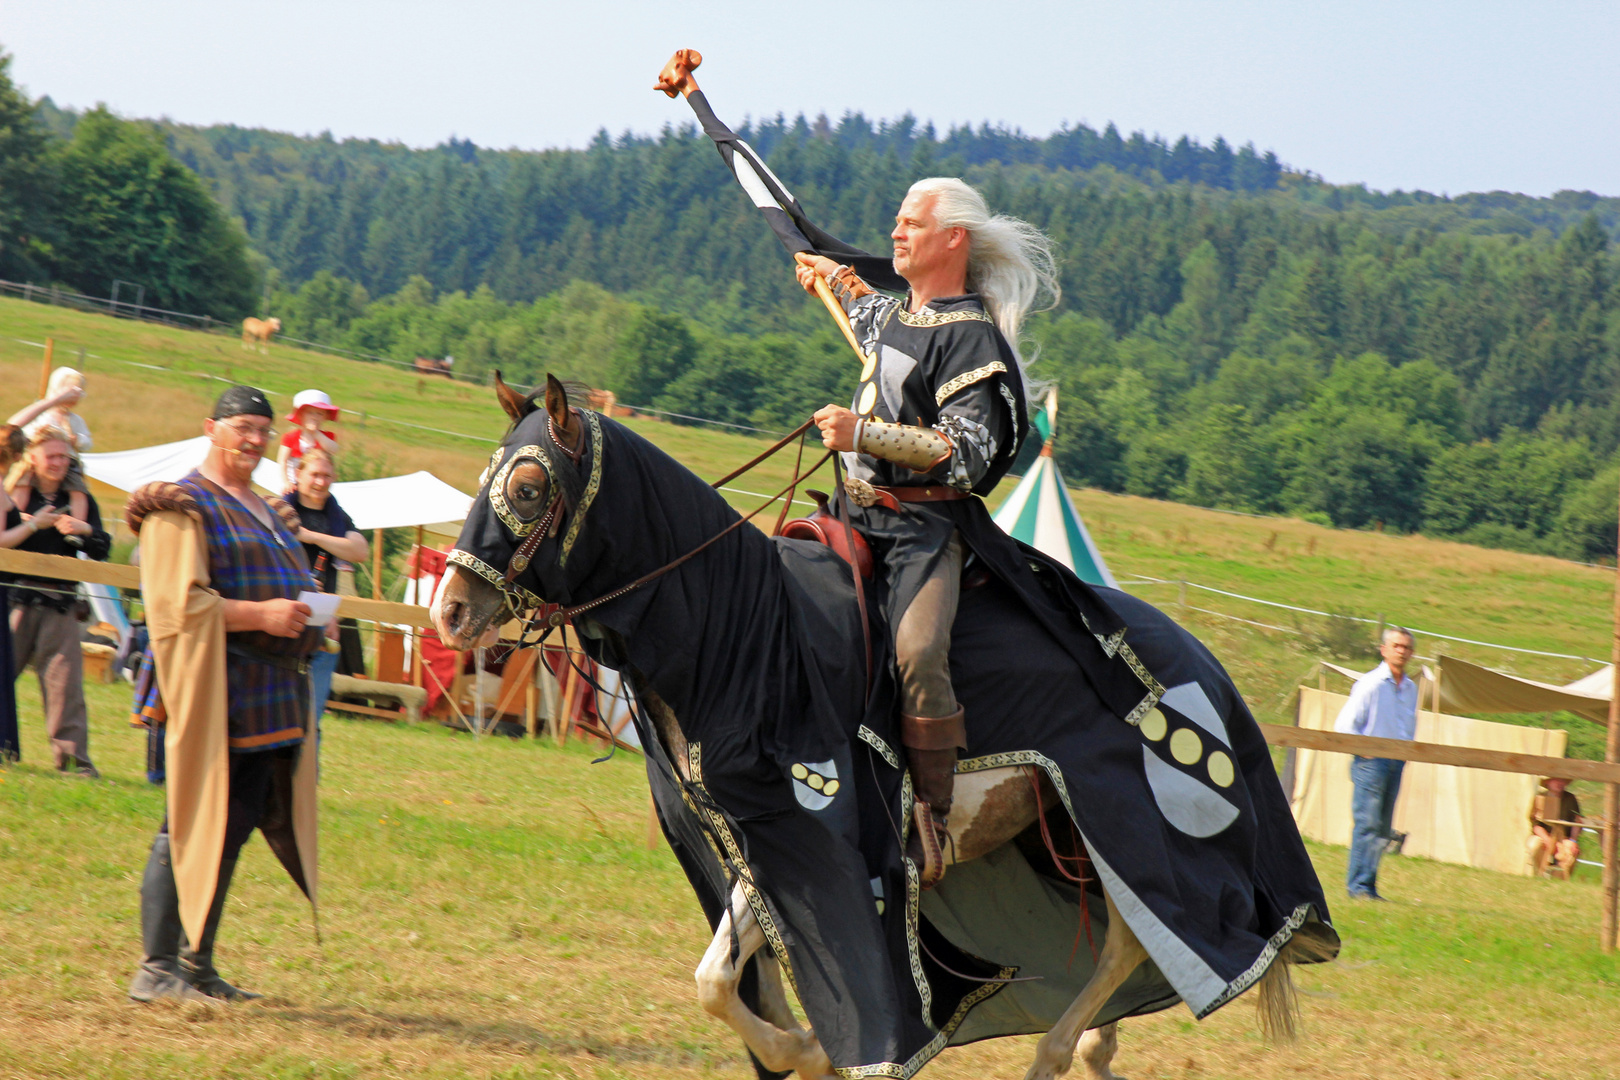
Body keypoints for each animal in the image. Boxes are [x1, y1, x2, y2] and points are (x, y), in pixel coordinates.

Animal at [437, 378, 1334, 1080]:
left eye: (526, 485)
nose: (450, 610)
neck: (742, 635)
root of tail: (1204, 659)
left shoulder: (813, 833)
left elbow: (742, 983)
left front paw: (811, 1050)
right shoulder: (750, 839)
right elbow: (719, 977)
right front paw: (799, 1046)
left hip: (1123, 827)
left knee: (1133, 939)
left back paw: (1056, 1054)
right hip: (1059, 835)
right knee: (1131, 942)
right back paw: (1093, 1047)